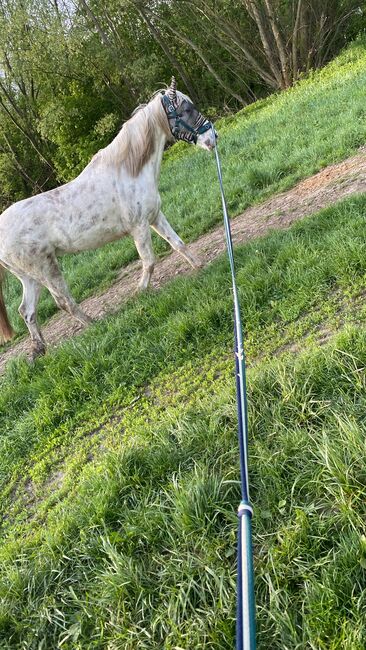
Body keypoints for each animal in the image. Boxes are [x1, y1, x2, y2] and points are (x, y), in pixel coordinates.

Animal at [0, 79, 216, 360]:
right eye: (186, 109)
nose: (212, 138)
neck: (129, 171)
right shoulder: (139, 227)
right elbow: (149, 261)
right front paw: (140, 292)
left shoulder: (155, 217)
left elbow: (177, 244)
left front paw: (199, 265)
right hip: (45, 268)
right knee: (62, 301)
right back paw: (95, 324)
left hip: (30, 277)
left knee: (26, 311)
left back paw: (40, 350)